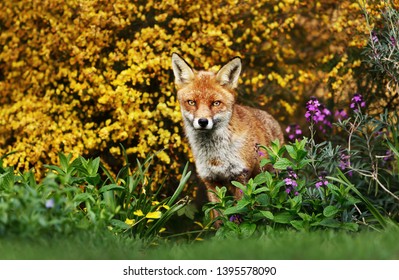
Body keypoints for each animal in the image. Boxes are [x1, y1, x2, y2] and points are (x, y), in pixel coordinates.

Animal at [172, 53, 284, 208]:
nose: (203, 122)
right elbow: (219, 213)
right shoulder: (211, 181)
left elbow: (239, 212)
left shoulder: (241, 177)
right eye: (191, 102)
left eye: (216, 103)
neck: (216, 157)